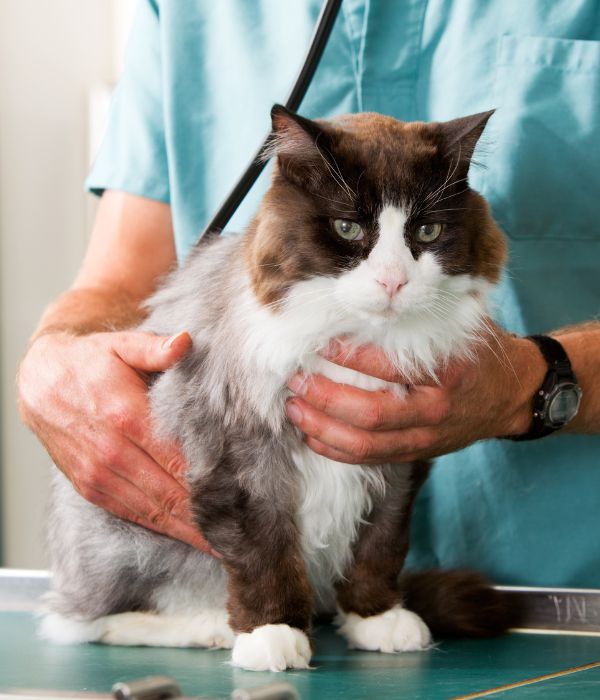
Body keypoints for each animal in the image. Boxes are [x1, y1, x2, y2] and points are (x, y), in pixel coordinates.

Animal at [41, 105, 510, 672]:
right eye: (347, 228)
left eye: (427, 230)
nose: (393, 281)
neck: (355, 338)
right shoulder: (242, 460)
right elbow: (265, 556)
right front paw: (273, 634)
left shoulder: (398, 458)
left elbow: (379, 546)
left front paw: (376, 617)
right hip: (126, 542)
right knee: (81, 622)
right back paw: (207, 628)